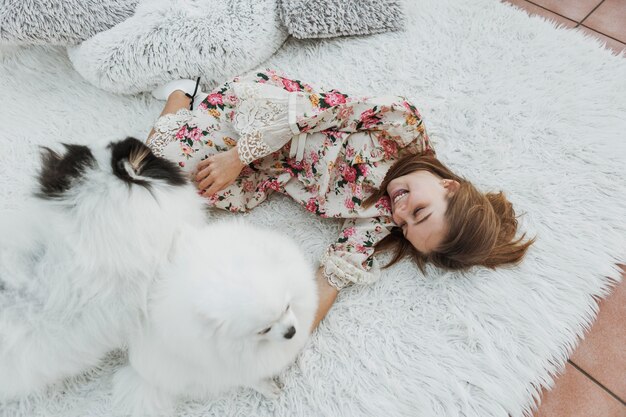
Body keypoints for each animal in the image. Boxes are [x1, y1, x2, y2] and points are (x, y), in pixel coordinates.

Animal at [112, 219, 316, 414]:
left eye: (287, 307)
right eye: (264, 330)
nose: (291, 332)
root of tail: (140, 374)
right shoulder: (223, 362)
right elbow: (248, 375)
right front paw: (266, 385)